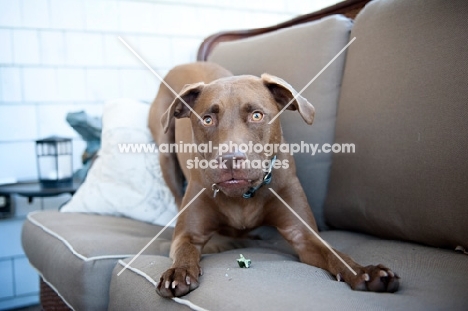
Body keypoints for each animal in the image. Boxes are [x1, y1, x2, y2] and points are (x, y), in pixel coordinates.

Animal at [149, 62, 398, 298]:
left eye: (257, 115)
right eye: (207, 120)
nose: (230, 159)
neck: (243, 196)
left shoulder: (303, 234)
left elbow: (334, 253)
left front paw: (365, 271)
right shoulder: (188, 235)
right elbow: (184, 250)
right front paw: (178, 272)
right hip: (165, 152)